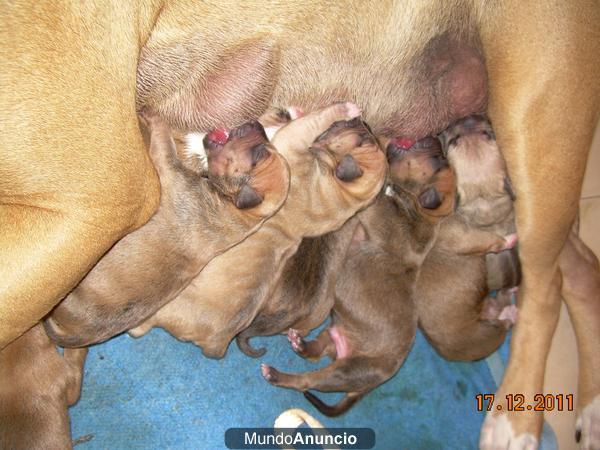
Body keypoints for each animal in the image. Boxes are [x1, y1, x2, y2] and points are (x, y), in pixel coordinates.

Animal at [43, 113, 290, 348]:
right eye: (265, 146)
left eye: (258, 155)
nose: (257, 124)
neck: (234, 210)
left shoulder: (168, 166)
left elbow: (164, 143)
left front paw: (154, 117)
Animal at [129, 103, 386, 358]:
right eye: (366, 134)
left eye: (361, 140)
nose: (362, 120)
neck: (346, 194)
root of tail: (218, 343)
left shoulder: (291, 141)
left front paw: (342, 108)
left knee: (142, 326)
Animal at [262, 135, 454, 416]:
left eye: (439, 160)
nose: (433, 137)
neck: (420, 214)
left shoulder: (377, 212)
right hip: (333, 332)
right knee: (315, 352)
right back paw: (300, 343)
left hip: (344, 371)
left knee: (307, 380)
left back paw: (277, 375)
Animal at [418, 116, 520, 362]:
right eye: (454, 140)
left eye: (488, 134)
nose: (468, 117)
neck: (484, 203)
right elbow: (493, 240)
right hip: (486, 331)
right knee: (503, 324)